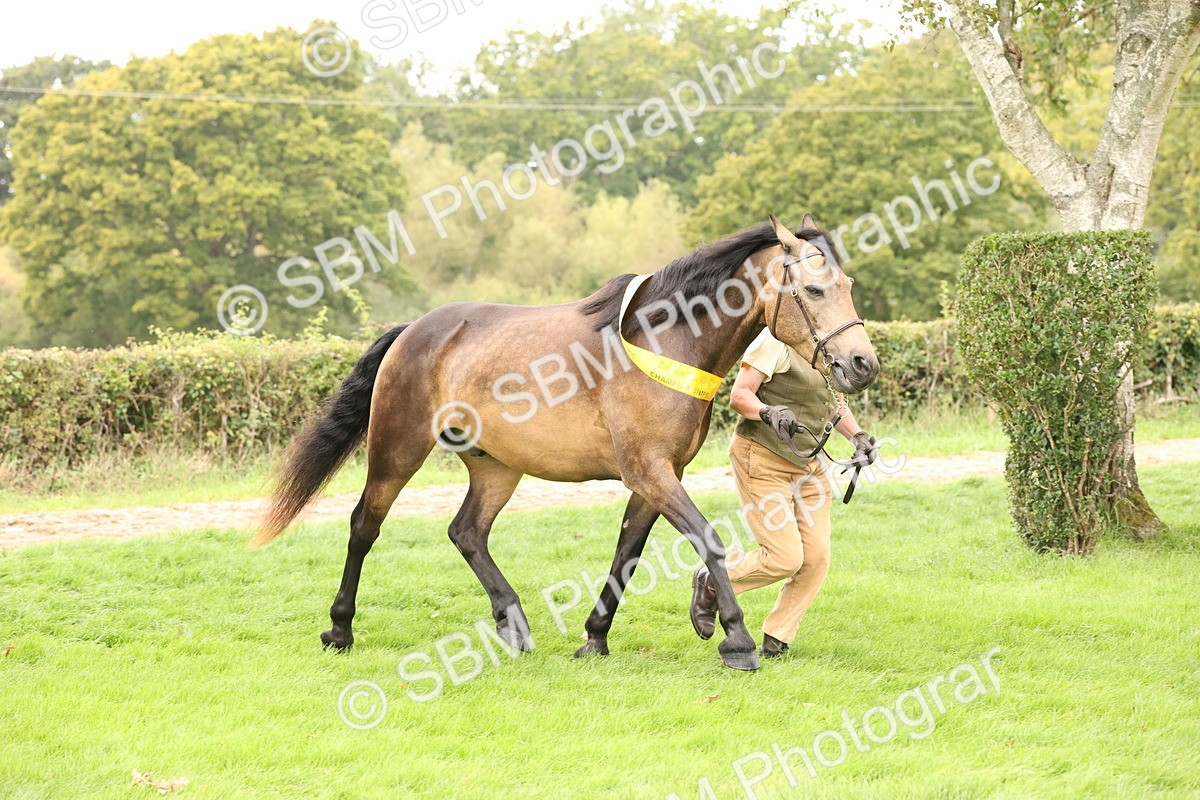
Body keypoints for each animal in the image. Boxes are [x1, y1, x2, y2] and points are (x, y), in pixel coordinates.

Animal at [252, 214, 879, 671]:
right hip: (396, 449)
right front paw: (737, 639)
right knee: (365, 524)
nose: (862, 365)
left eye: (848, 285)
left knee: (466, 532)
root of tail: (414, 330)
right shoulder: (650, 470)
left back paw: (513, 623)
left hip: (496, 466)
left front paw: (595, 638)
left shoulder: (655, 476)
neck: (666, 339)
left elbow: (627, 553)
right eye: (815, 288)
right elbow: (707, 539)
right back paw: (340, 627)